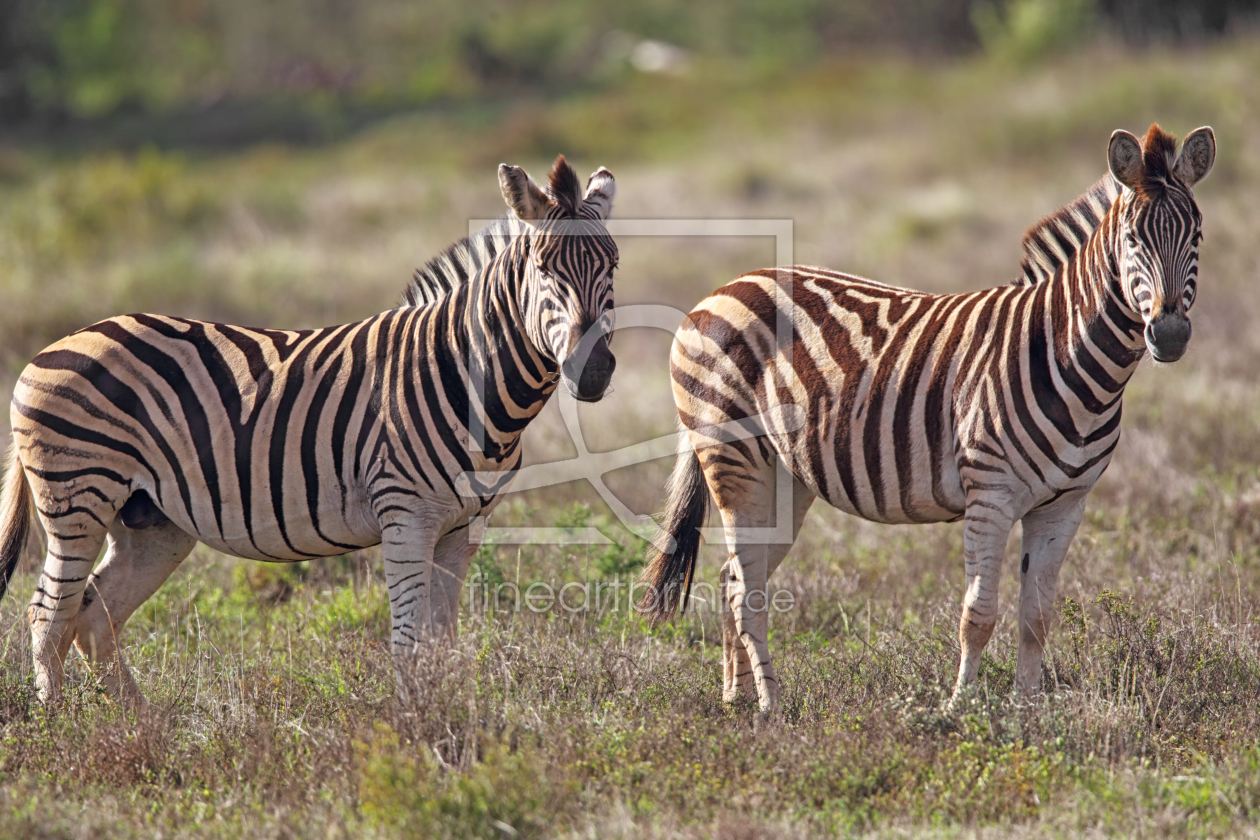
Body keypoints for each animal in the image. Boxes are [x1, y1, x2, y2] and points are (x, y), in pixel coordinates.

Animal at [0, 156, 619, 705]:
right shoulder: (406, 515)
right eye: (545, 271)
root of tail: (54, 346)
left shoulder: (463, 528)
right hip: (79, 499)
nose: (591, 370)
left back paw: (139, 728)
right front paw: (414, 734)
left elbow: (442, 644)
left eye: (612, 267)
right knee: (47, 615)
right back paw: (60, 727)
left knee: (94, 617)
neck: (464, 376)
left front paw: (453, 726)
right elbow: (409, 643)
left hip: (150, 520)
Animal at [645, 124, 1214, 715]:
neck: (1065, 355)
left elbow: (1036, 617)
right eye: (1132, 240)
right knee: (747, 591)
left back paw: (735, 699)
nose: (1170, 336)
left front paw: (1027, 715)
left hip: (784, 479)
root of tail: (723, 287)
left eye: (1197, 236)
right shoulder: (990, 493)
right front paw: (960, 709)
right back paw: (770, 706)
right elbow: (977, 615)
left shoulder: (1064, 506)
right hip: (733, 461)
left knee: (733, 578)